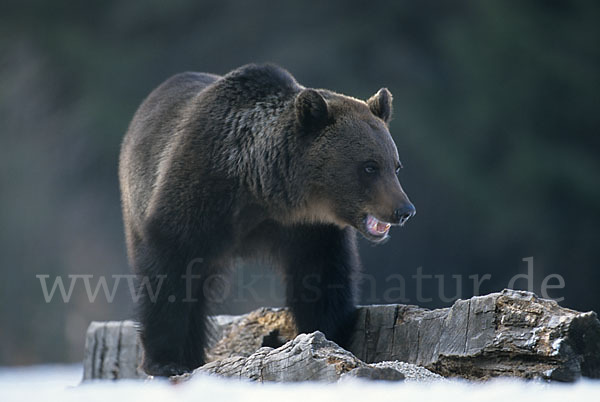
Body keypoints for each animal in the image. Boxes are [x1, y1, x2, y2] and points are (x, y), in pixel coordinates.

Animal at [119, 63, 414, 376]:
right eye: (369, 166)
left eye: (395, 166)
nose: (404, 209)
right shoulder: (200, 193)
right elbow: (171, 267)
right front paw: (166, 361)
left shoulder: (309, 229)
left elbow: (322, 278)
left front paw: (330, 334)